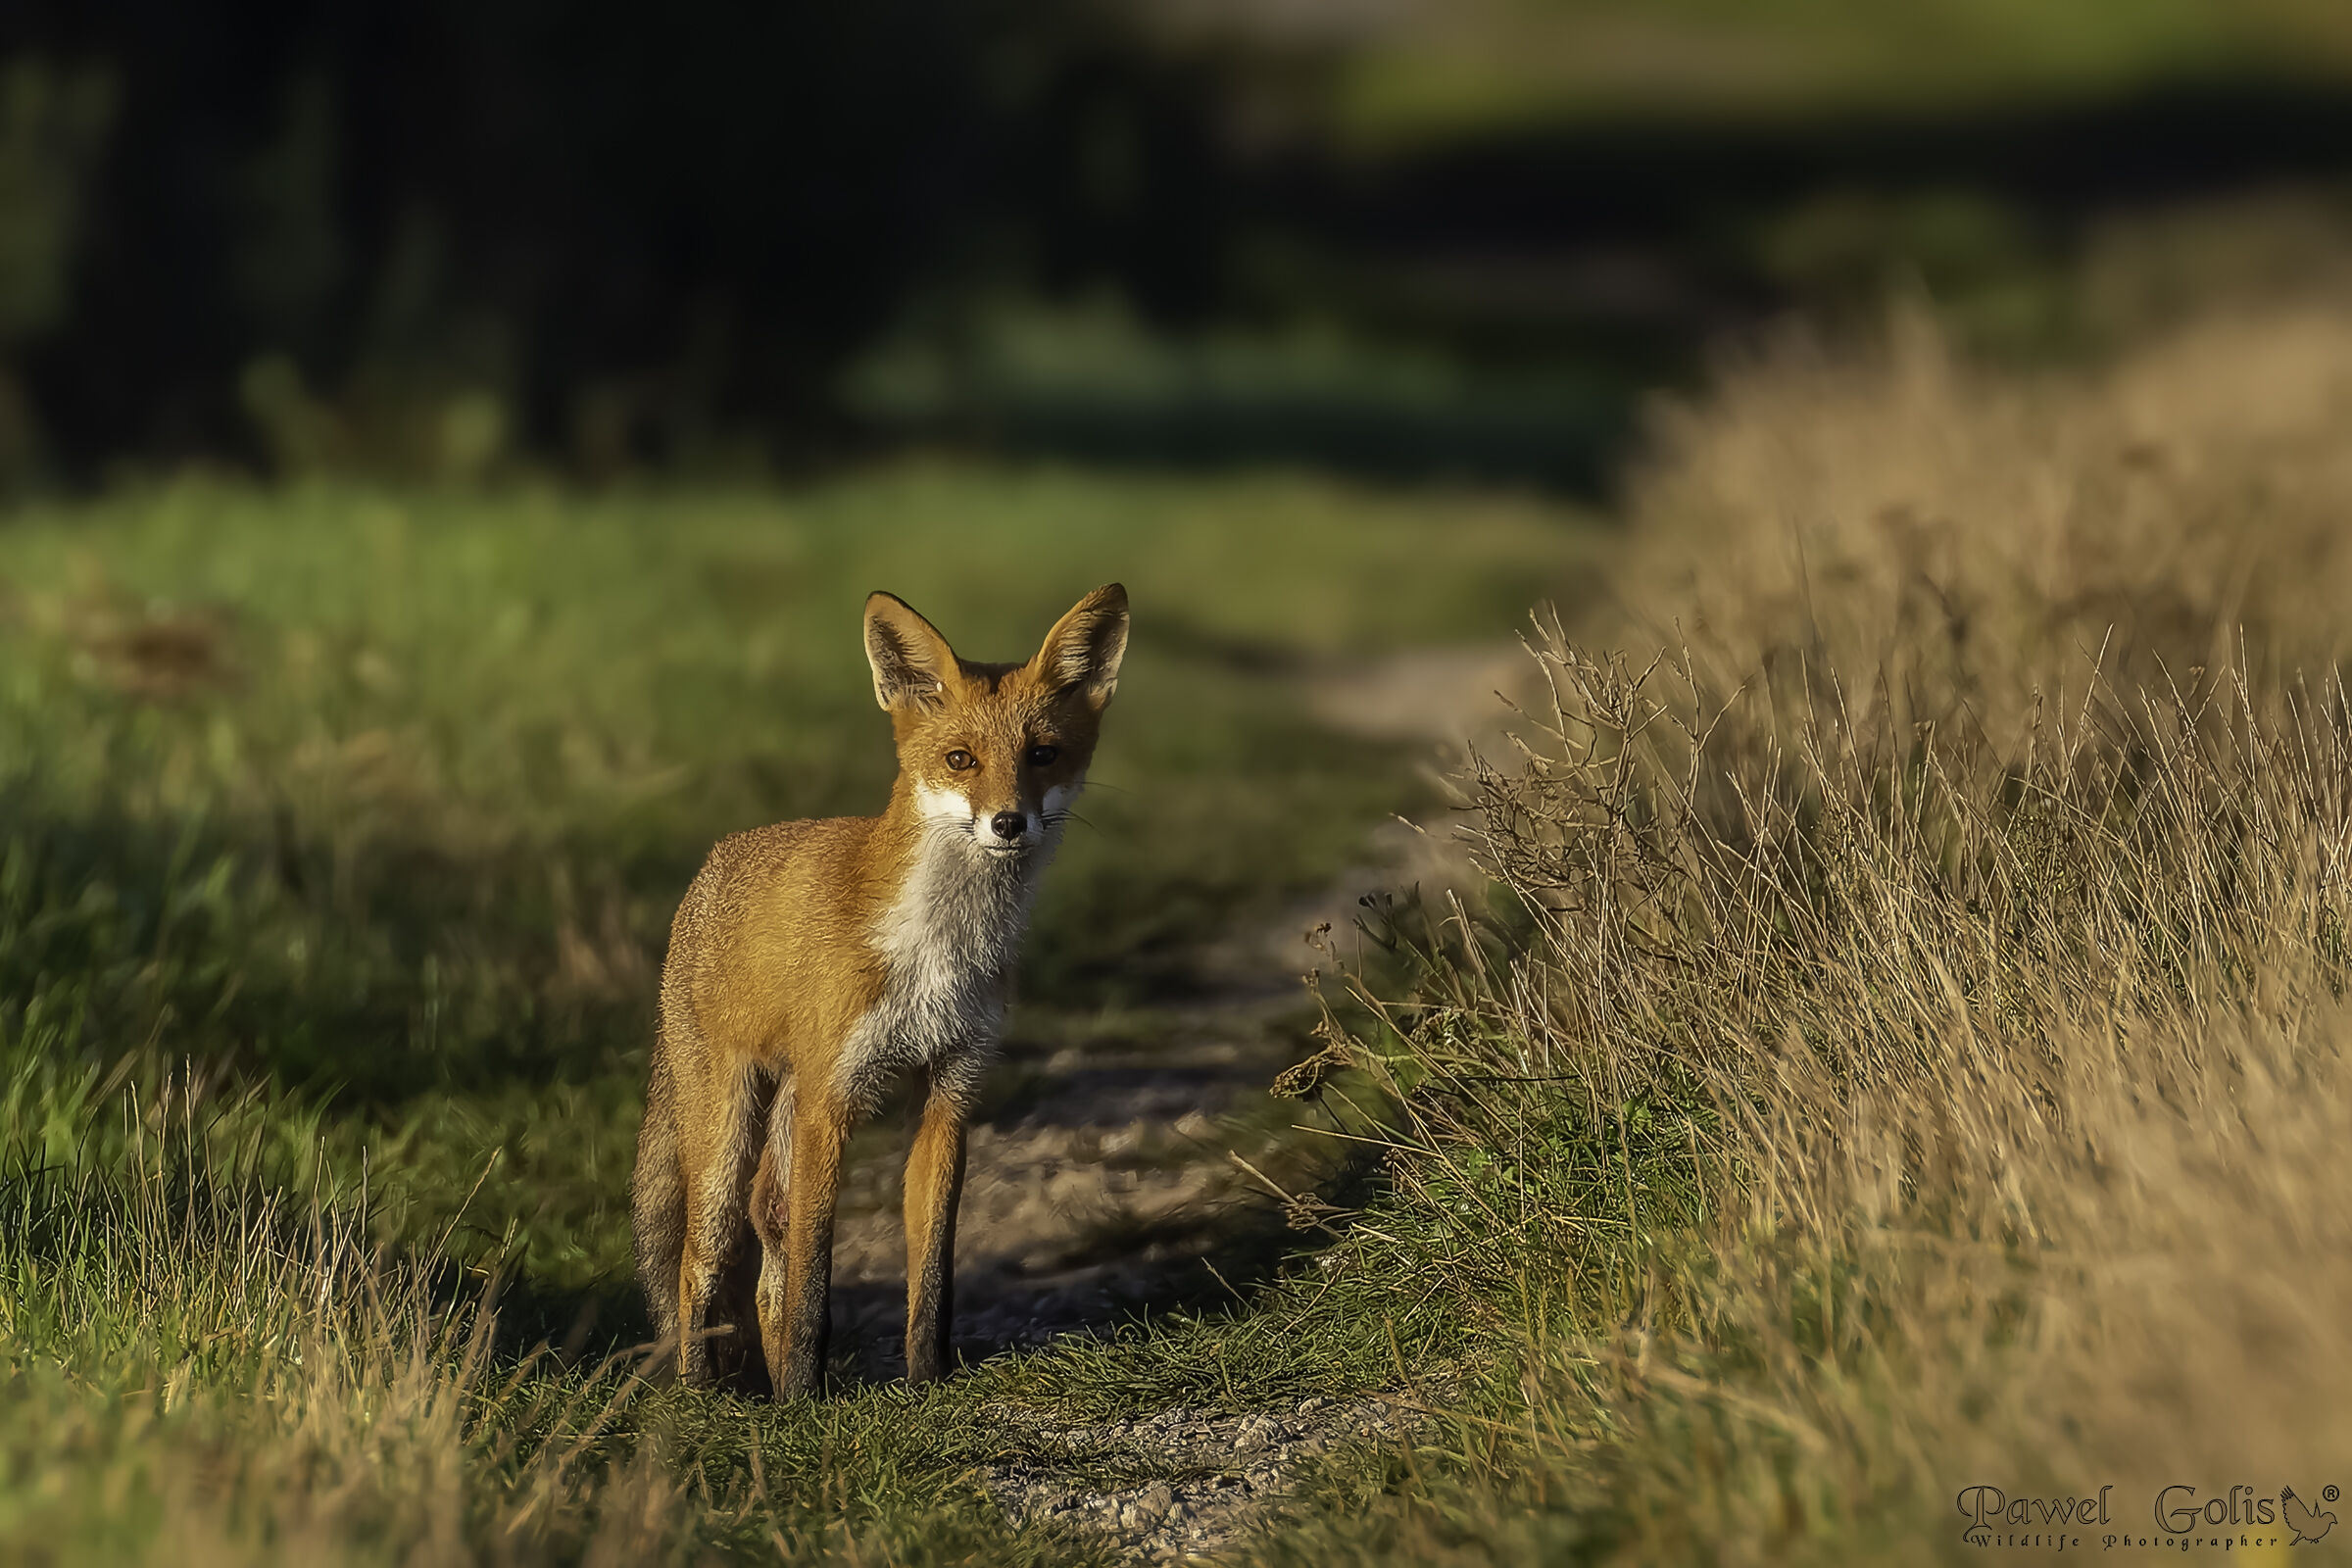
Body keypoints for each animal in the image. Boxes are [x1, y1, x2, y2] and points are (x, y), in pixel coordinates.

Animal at [630, 584, 1128, 1398]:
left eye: (1043, 754)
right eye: (960, 760)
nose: (1009, 822)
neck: (937, 949)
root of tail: (710, 866)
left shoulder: (952, 1092)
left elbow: (932, 1271)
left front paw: (928, 1382)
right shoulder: (833, 1103)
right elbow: (814, 1282)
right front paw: (806, 1399)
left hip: (787, 1110)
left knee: (769, 1229)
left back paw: (764, 1382)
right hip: (728, 1130)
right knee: (701, 1259)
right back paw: (706, 1394)